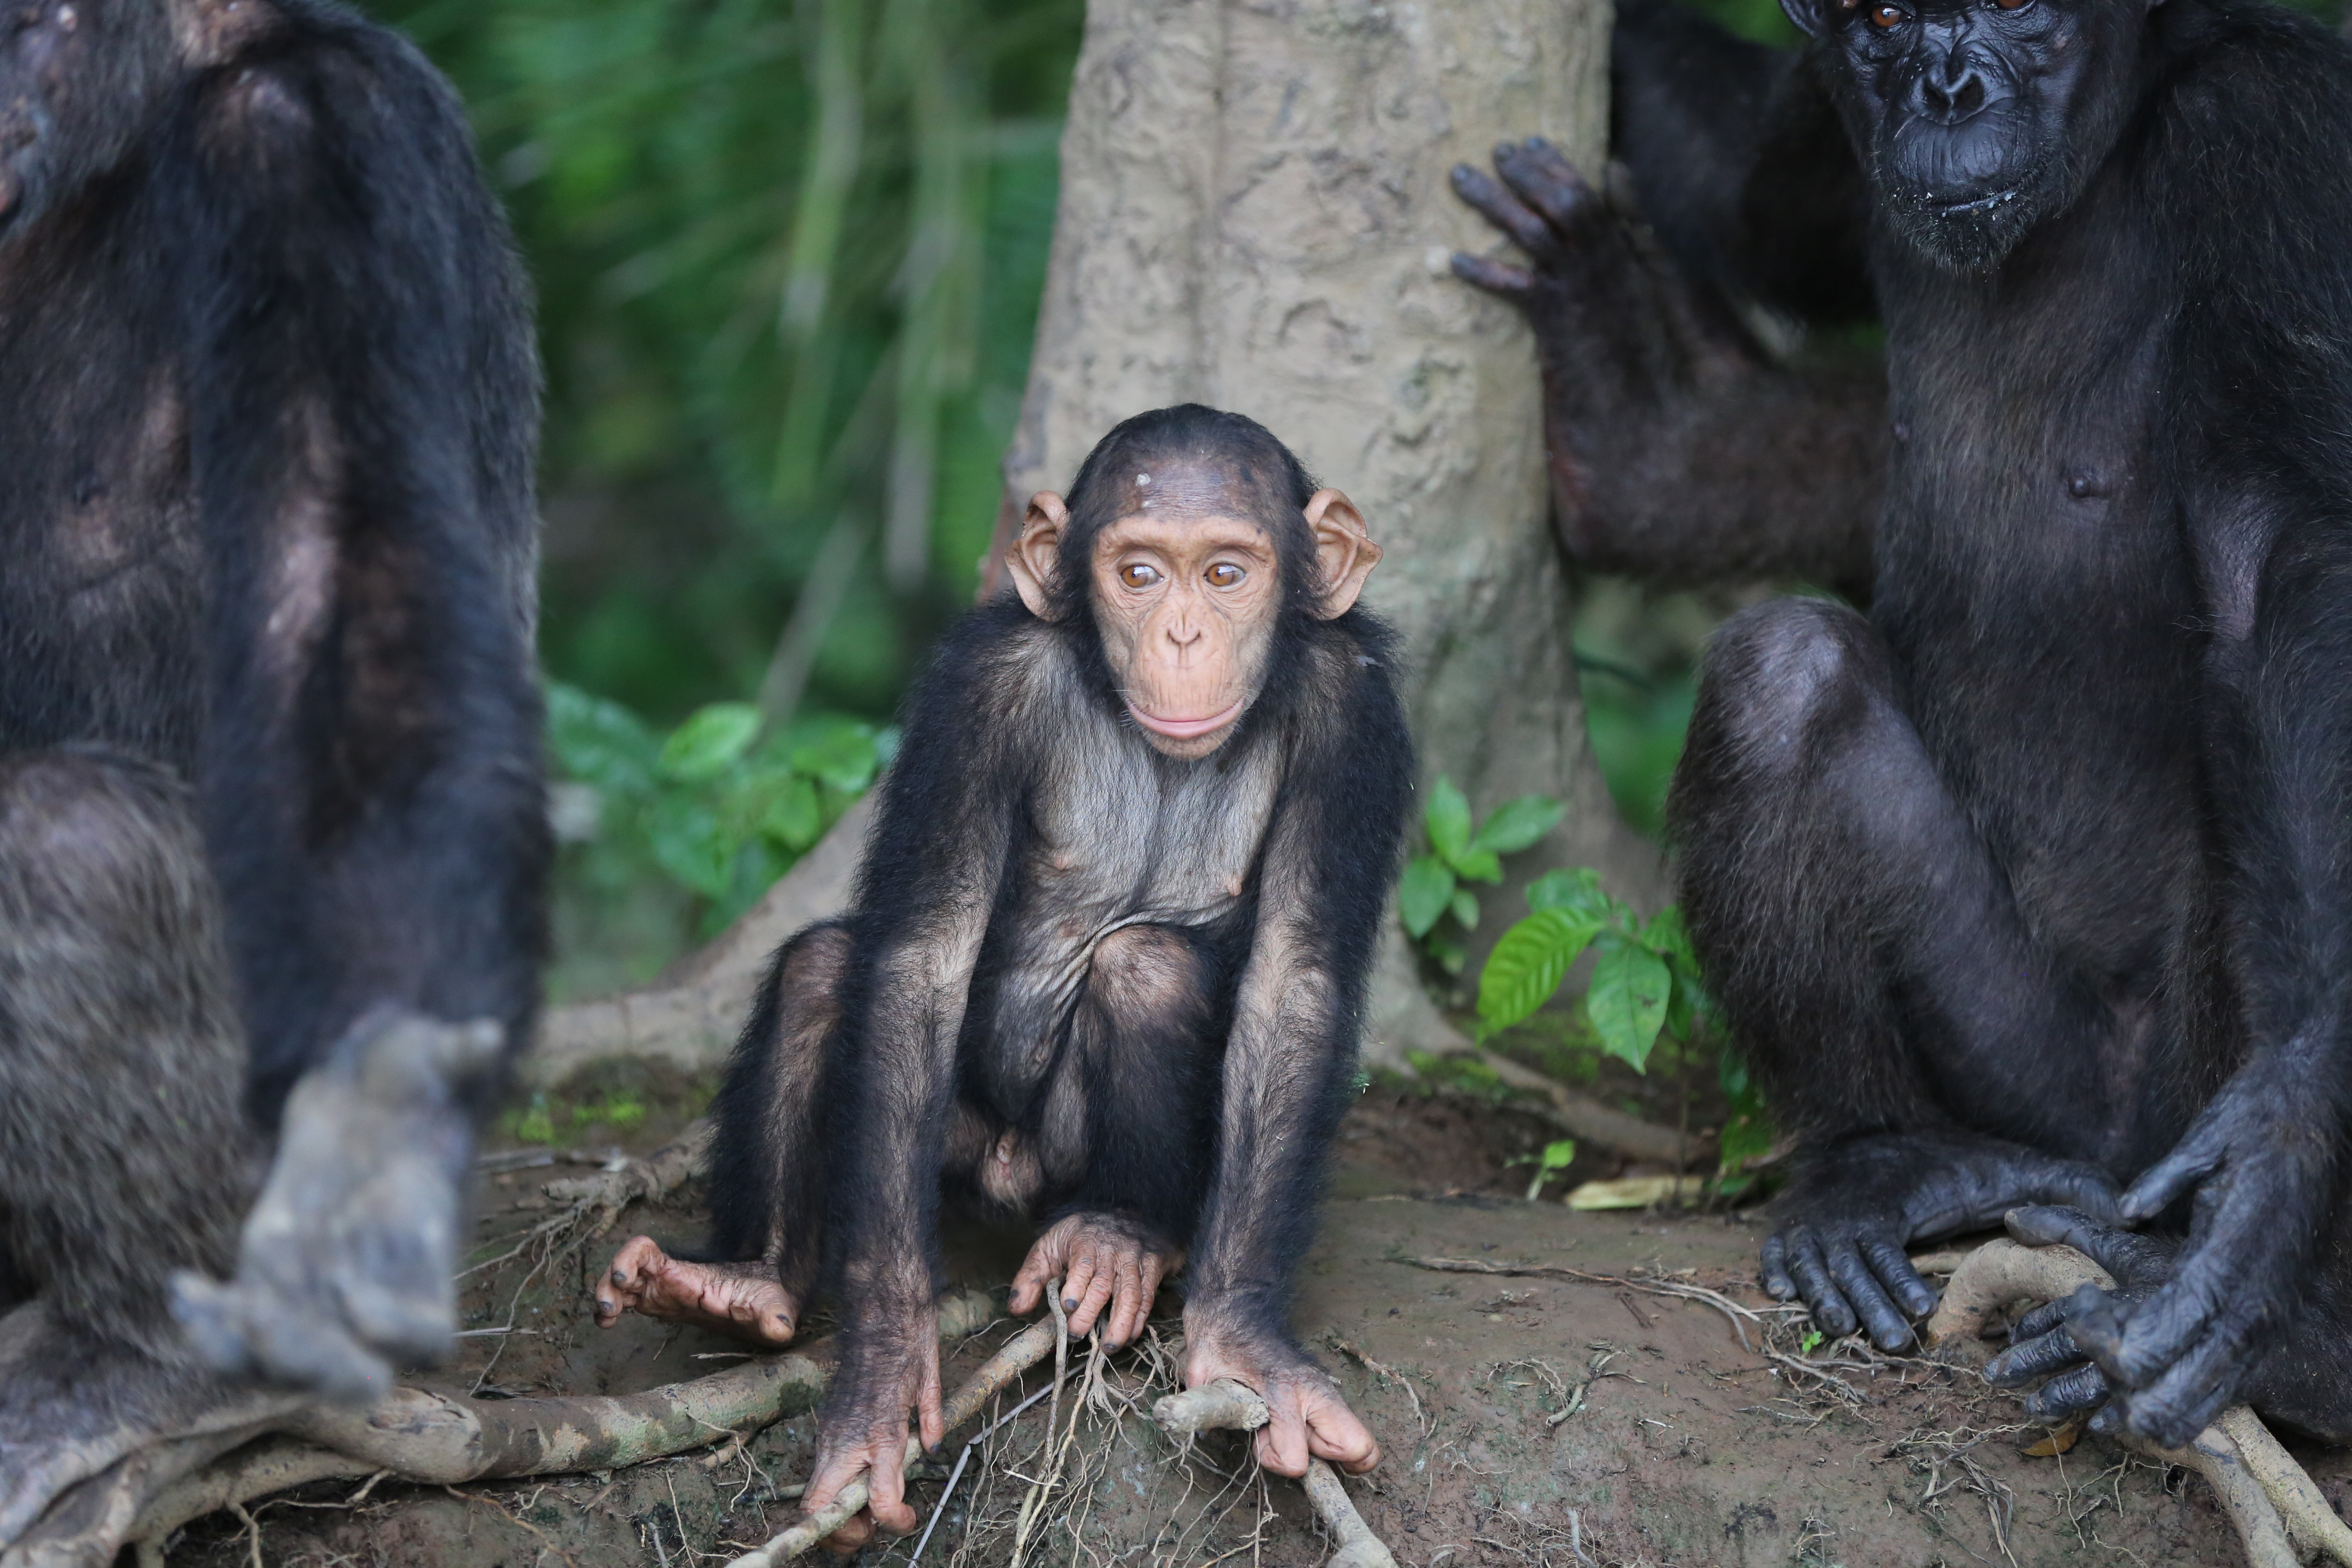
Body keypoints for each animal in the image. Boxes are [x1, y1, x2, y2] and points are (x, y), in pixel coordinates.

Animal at [602, 404, 1411, 1542]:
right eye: (1136, 573)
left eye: (1224, 573)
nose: (1182, 635)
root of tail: (1013, 1174)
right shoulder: (977, 691)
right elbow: (920, 956)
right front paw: (883, 1371)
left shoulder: (1357, 717)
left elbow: (1293, 979)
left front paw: (1245, 1335)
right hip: (959, 1154)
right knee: (824, 969)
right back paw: (748, 1283)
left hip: (1061, 1163)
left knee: (1147, 964)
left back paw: (1121, 1237)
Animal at [1458, 0, 2352, 1457]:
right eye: (1886, 21)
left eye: (2026, 13)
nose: (1949, 84)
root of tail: (2099, 1148)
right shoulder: (1832, 134)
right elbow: (1745, 196)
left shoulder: (2276, 142)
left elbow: (2278, 561)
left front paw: (2285, 1150)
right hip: (2014, 1067)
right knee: (1785, 668)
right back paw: (1884, 1166)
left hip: (2155, 1106)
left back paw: (2297, 1342)